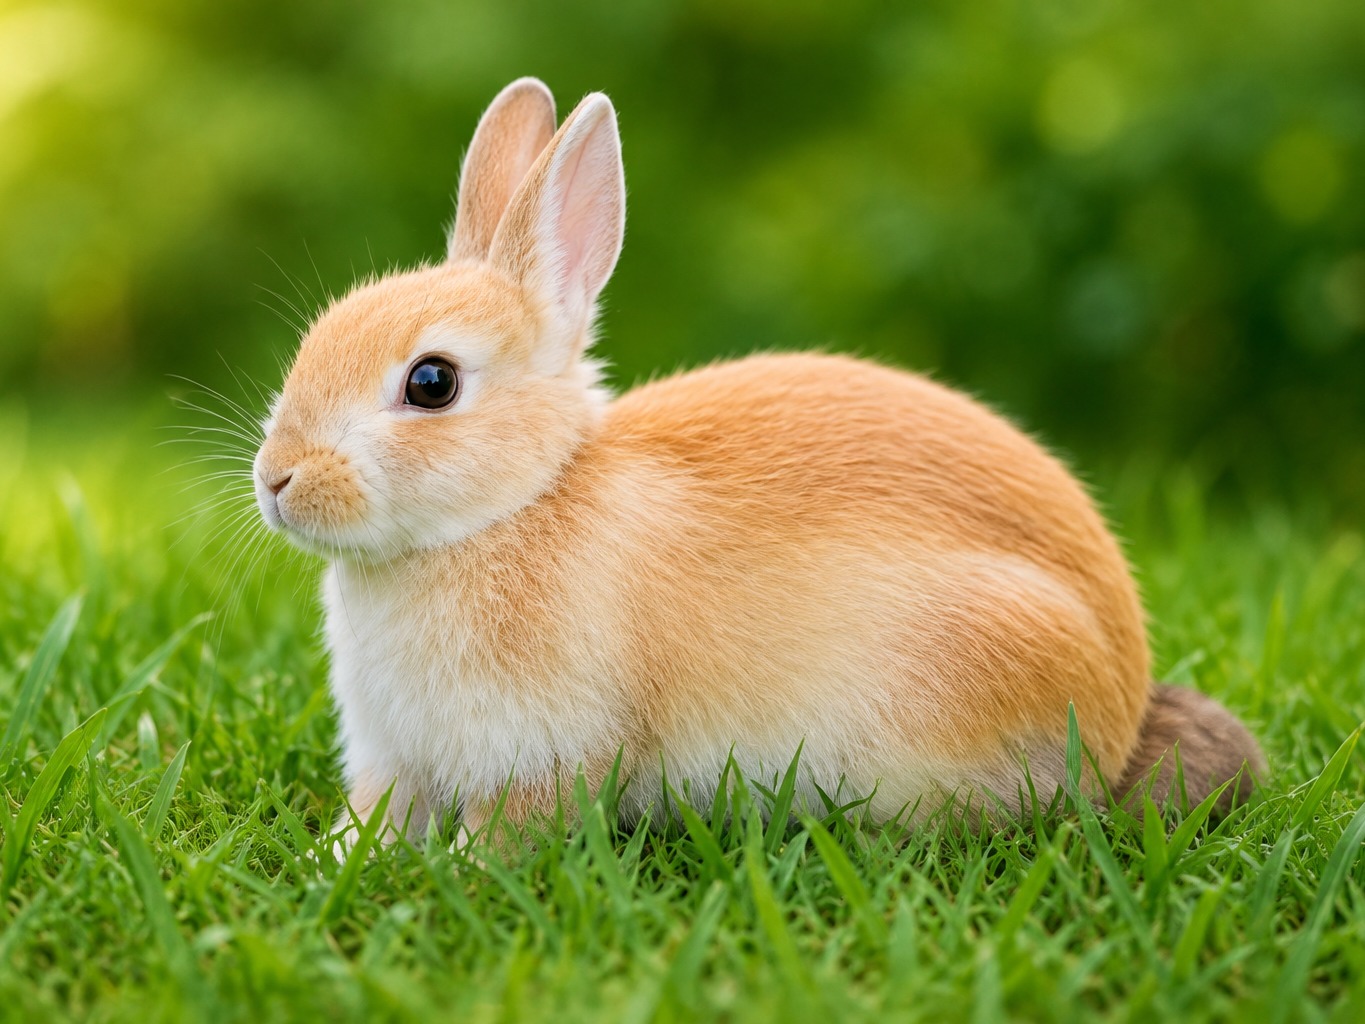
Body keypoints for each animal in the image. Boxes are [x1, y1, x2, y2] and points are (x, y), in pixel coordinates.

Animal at [251, 77, 1265, 850]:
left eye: (432, 383)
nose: (277, 480)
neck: (516, 505)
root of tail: (1118, 710)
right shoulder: (396, 761)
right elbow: (377, 821)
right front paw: (337, 862)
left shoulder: (550, 756)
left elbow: (511, 832)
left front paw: (447, 874)